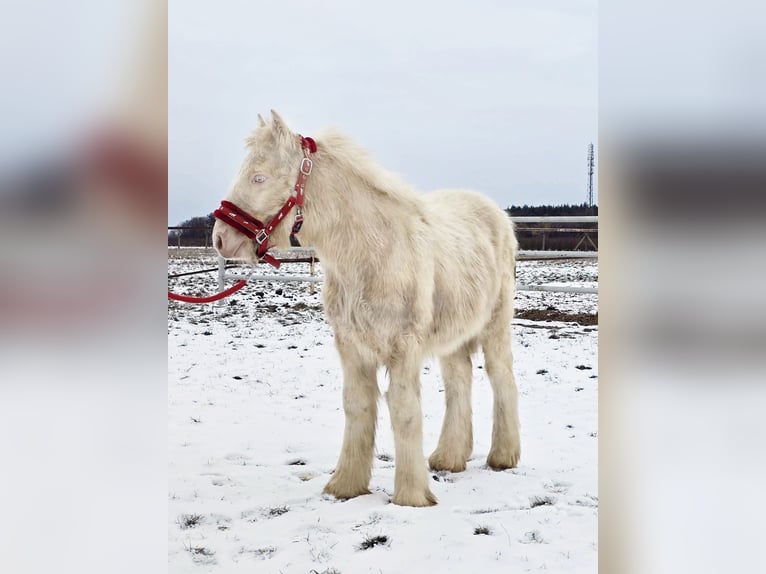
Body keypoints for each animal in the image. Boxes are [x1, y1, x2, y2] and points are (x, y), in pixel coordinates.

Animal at [213, 110, 520, 506]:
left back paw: (503, 456)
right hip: (453, 336)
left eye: (259, 177)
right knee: (458, 381)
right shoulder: (351, 347)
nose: (221, 239)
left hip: (495, 326)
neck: (372, 253)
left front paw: (411, 496)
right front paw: (346, 486)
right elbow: (357, 407)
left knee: (501, 376)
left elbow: (404, 411)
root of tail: (497, 214)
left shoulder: (403, 348)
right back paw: (449, 458)